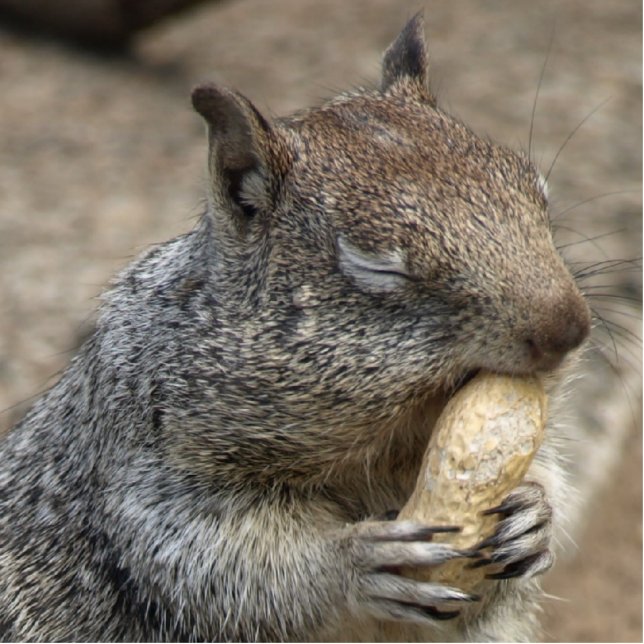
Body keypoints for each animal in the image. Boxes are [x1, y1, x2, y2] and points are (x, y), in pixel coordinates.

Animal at [0, 14, 591, 642]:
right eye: (376, 265)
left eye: (538, 194)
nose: (568, 327)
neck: (394, 450)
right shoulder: (149, 478)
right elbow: (222, 568)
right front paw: (353, 563)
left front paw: (535, 515)